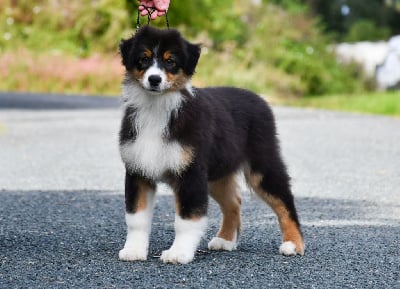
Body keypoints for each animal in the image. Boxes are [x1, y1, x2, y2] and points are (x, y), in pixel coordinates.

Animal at [117, 25, 304, 262]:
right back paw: (225, 240)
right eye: (143, 58)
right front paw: (134, 250)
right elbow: (136, 217)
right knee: (234, 202)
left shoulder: (191, 173)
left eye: (171, 61)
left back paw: (294, 244)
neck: (156, 107)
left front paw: (179, 253)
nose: (154, 79)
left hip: (262, 165)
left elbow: (187, 219)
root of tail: (259, 98)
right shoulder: (137, 170)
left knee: (284, 201)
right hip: (218, 173)